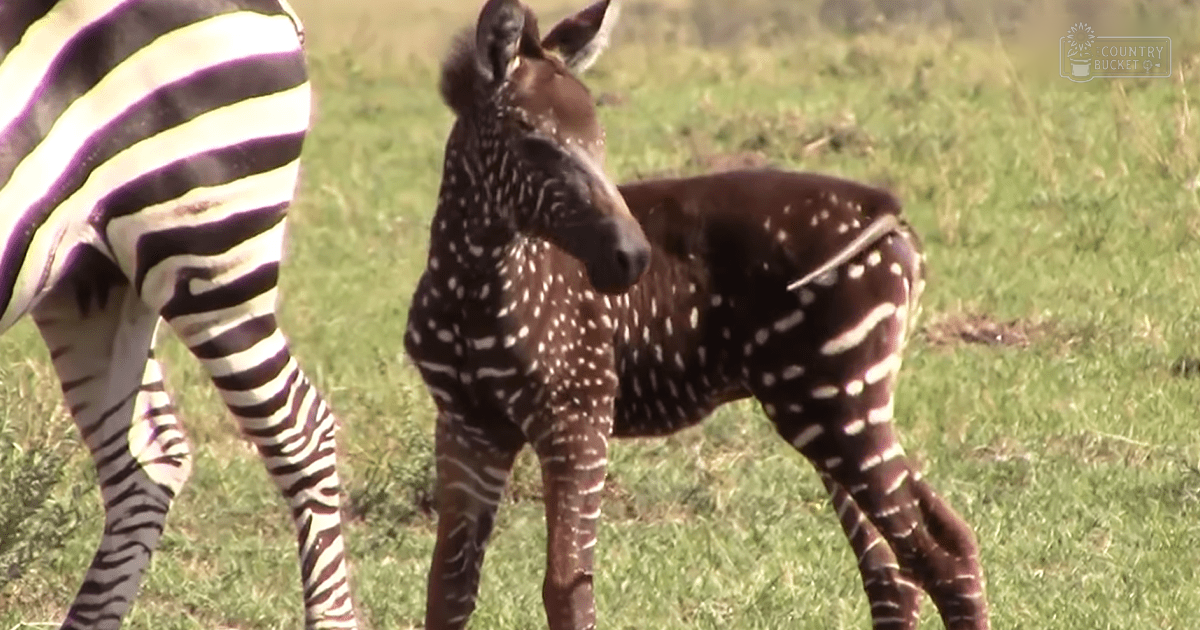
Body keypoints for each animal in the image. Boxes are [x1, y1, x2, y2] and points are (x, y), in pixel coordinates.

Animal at [404, 0, 990, 628]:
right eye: (533, 140)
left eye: (598, 137)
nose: (632, 258)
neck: (472, 290)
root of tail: (888, 212)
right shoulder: (468, 426)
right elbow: (448, 588)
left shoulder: (577, 414)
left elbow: (565, 587)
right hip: (833, 409)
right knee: (908, 562)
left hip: (838, 404)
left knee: (936, 554)